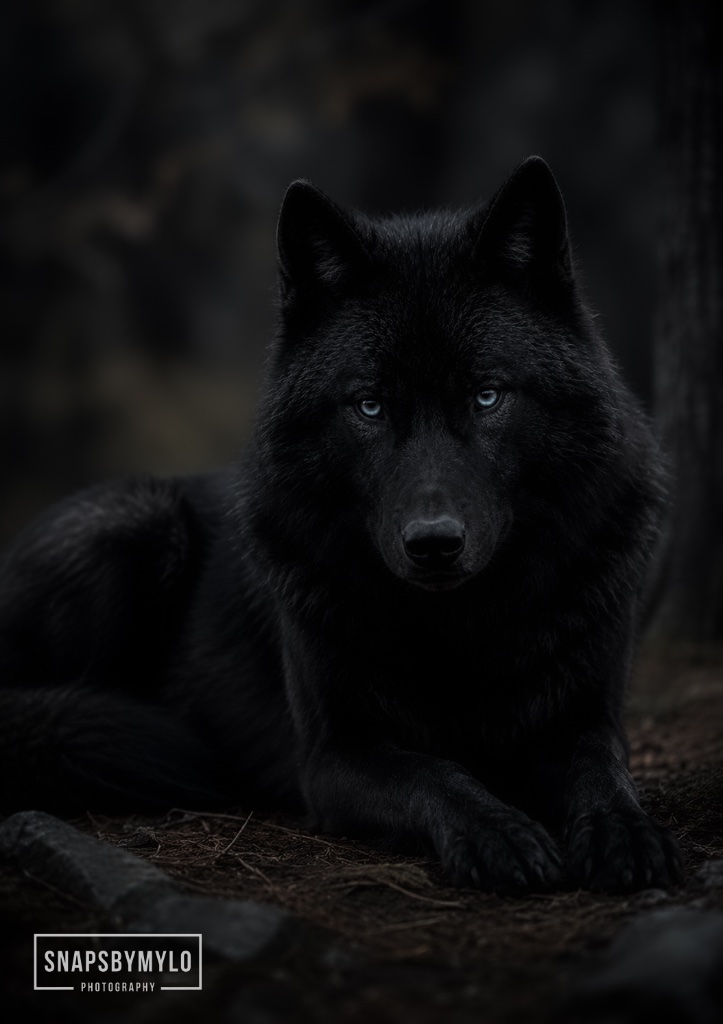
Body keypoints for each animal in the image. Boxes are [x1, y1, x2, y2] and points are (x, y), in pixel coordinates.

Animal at [0, 157, 682, 893]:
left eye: (486, 395)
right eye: (370, 406)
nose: (434, 544)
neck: (463, 629)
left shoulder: (587, 719)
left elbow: (602, 771)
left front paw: (625, 833)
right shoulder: (331, 757)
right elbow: (434, 773)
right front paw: (498, 832)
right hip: (130, 525)